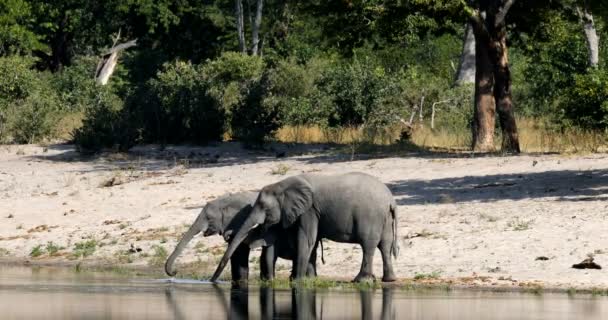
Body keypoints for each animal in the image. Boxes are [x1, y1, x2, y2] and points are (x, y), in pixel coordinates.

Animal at [165, 191, 318, 282]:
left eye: (209, 218)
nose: (175, 272)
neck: (226, 199)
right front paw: (240, 282)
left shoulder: (240, 222)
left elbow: (239, 252)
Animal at [209, 172, 400, 282]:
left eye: (263, 206)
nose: (212, 281)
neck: (283, 184)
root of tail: (391, 200)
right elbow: (312, 243)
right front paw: (308, 279)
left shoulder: (309, 210)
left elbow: (307, 239)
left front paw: (298, 281)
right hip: (384, 218)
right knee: (384, 245)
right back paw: (388, 280)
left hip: (371, 216)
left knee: (368, 245)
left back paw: (361, 281)